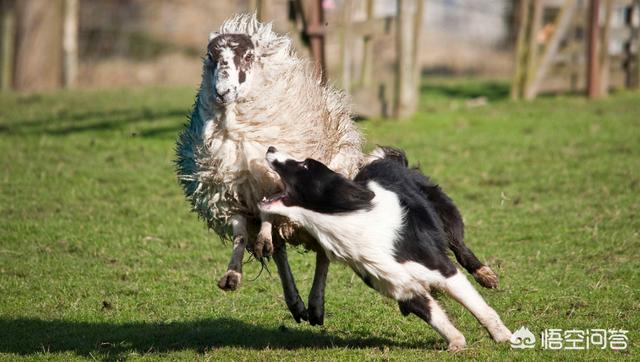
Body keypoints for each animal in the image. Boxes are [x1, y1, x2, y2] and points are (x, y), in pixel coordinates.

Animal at [175, 14, 364, 326]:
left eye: (248, 56)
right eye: (211, 56)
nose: (222, 92)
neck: (236, 132)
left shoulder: (272, 182)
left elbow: (267, 211)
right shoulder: (225, 196)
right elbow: (240, 232)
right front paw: (232, 275)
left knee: (321, 253)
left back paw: (315, 306)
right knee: (280, 253)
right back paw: (295, 302)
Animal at [258, 146, 512, 350]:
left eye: (305, 164)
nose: (270, 147)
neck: (348, 221)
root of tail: (388, 160)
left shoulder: (440, 269)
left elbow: (477, 306)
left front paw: (503, 336)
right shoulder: (401, 285)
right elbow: (434, 316)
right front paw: (456, 342)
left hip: (446, 214)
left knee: (460, 246)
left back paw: (485, 274)